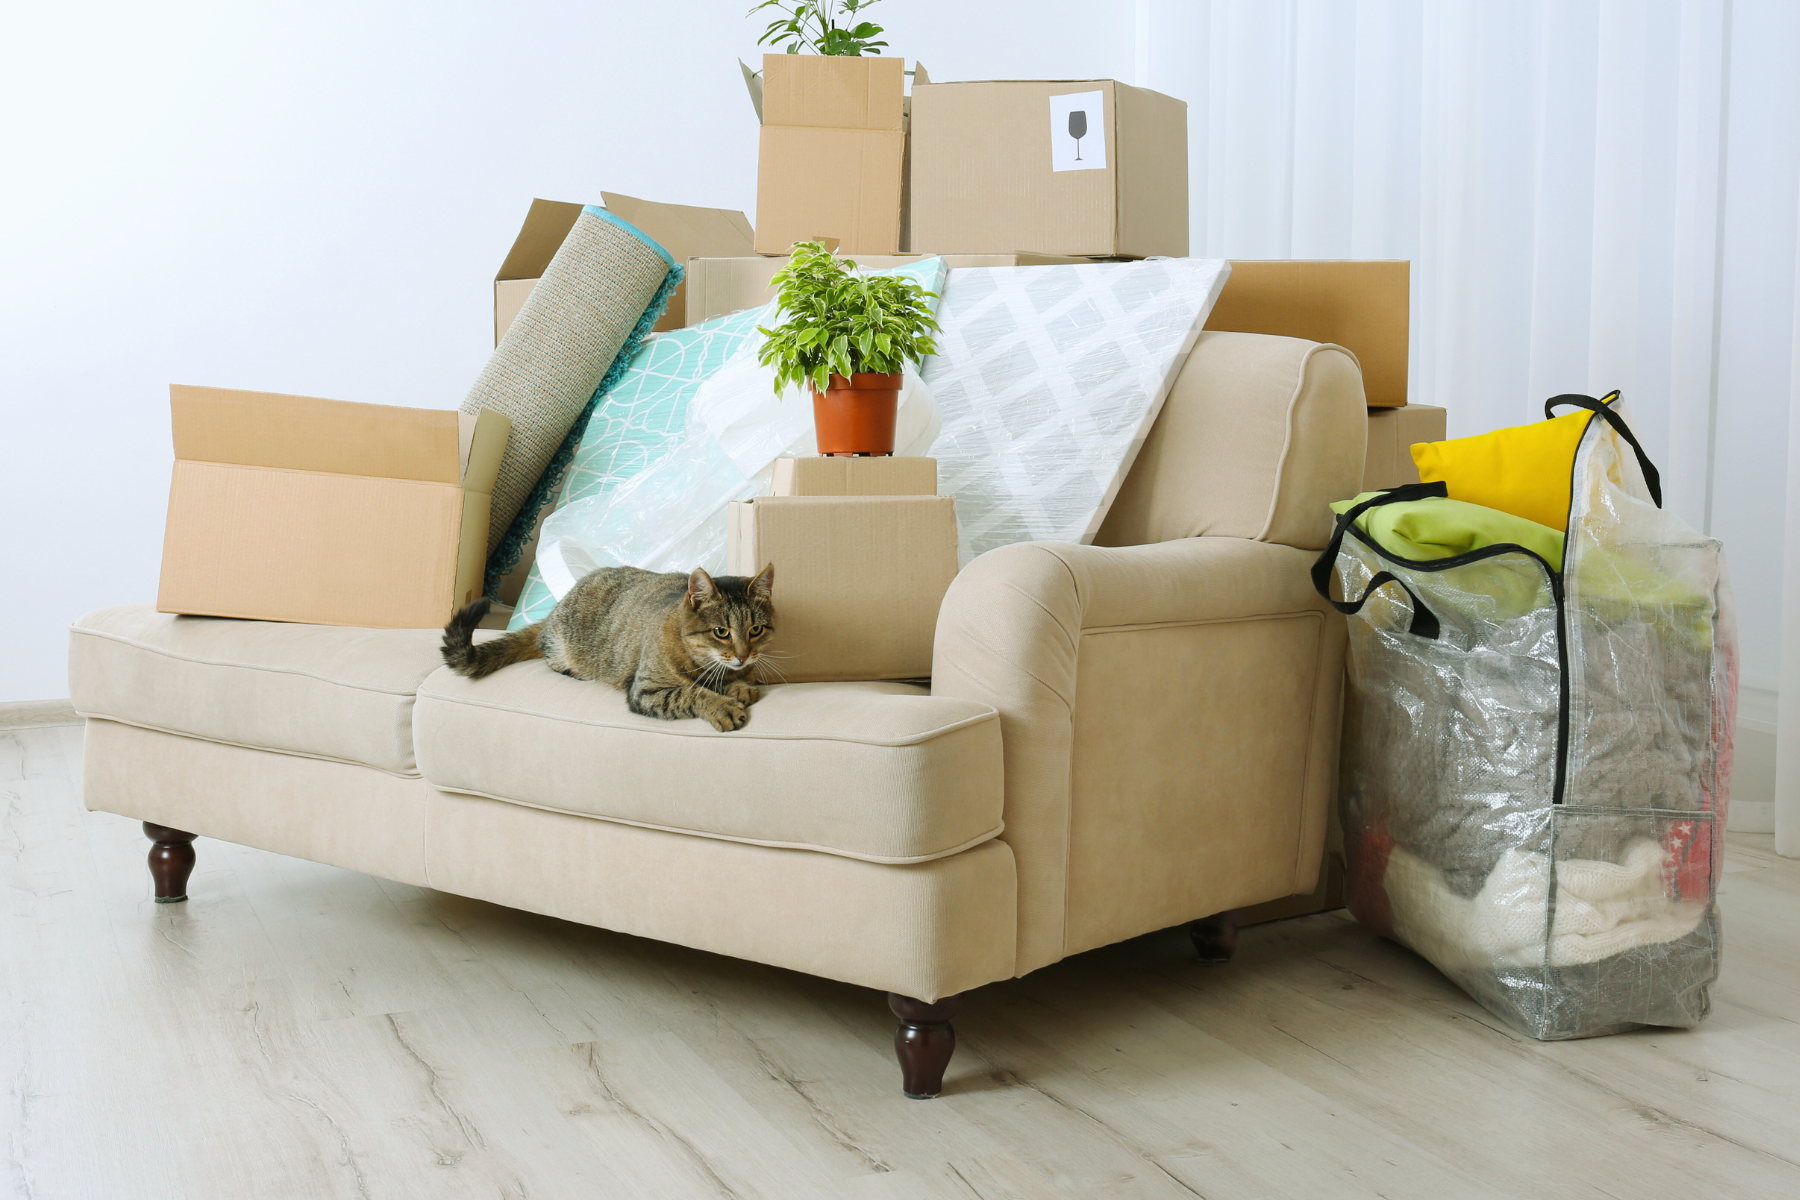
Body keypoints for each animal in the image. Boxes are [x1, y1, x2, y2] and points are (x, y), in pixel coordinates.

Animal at [441, 564, 774, 734]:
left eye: (756, 630)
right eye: (722, 632)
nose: (744, 655)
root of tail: (555, 609)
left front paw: (739, 686)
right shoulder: (646, 691)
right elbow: (690, 693)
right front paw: (722, 705)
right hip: (563, 646)